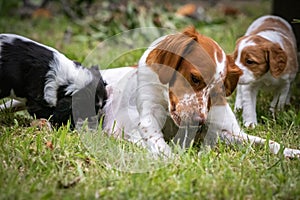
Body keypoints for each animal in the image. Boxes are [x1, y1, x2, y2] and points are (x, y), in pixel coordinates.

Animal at [102, 27, 300, 158]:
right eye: (195, 78)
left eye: (218, 90)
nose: (198, 122)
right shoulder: (148, 117)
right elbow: (160, 146)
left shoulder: (226, 131)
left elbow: (270, 142)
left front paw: (291, 152)